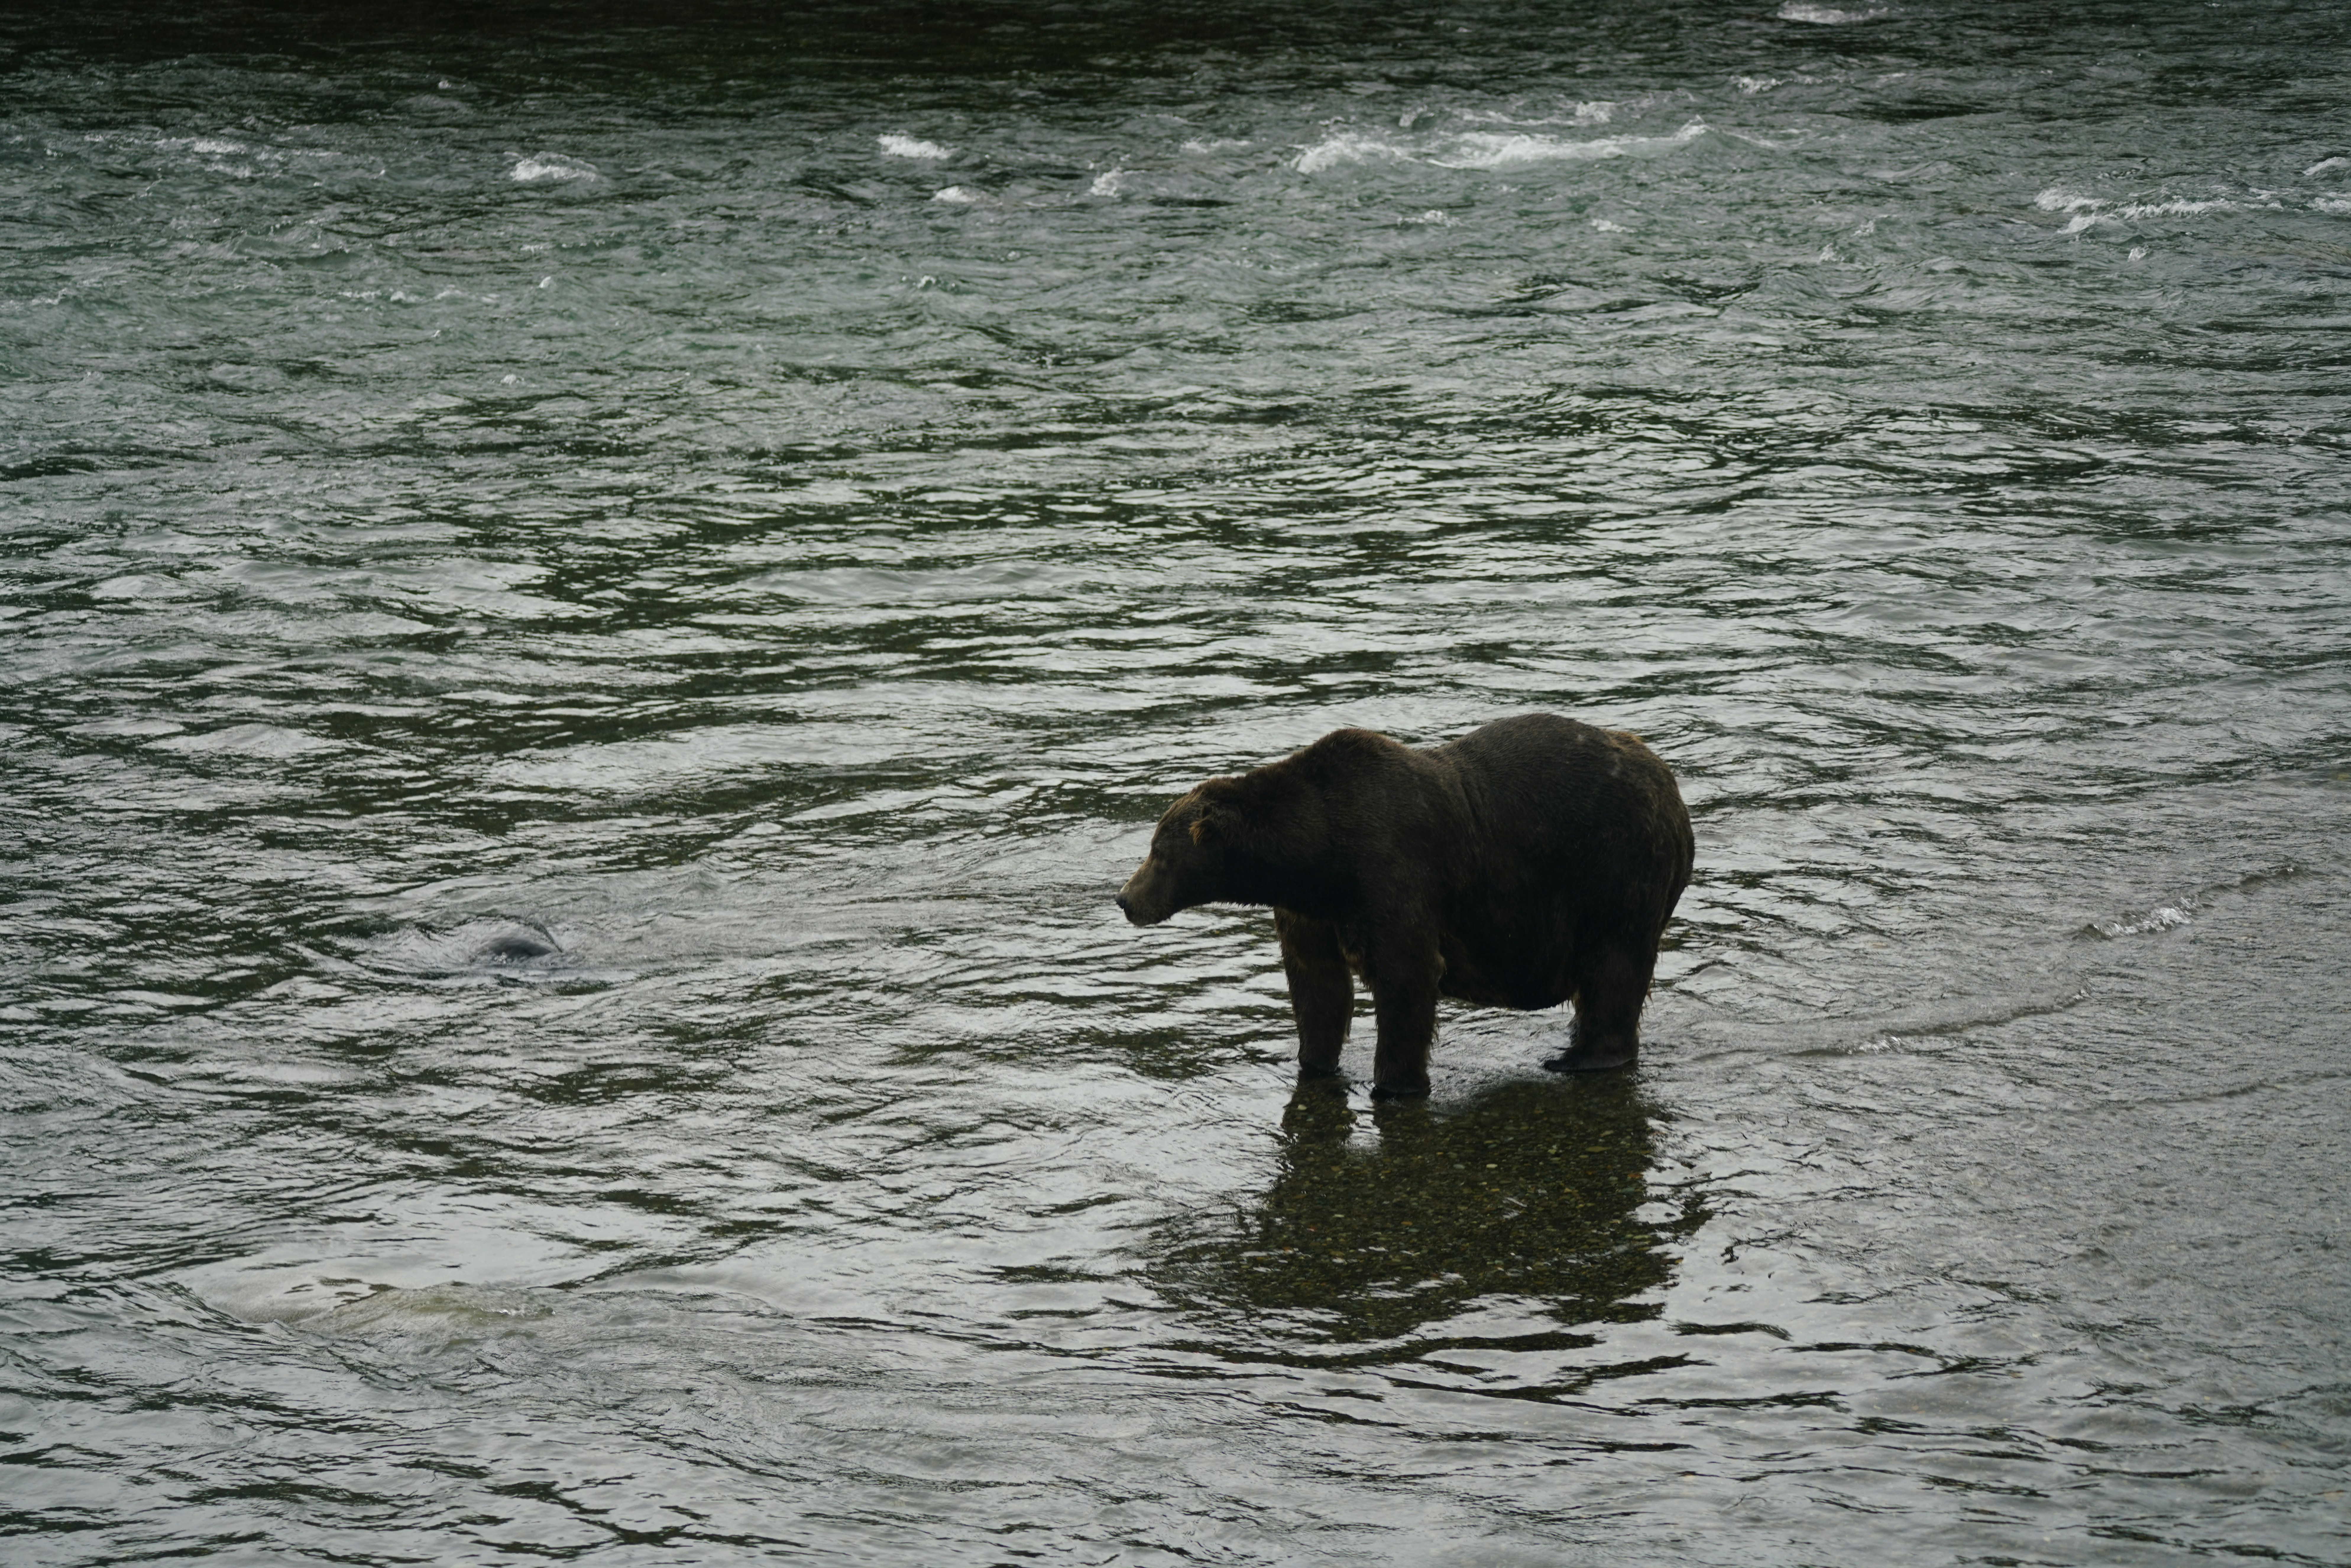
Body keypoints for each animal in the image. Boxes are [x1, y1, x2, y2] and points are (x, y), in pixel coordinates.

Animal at [1116, 713, 1694, 1100]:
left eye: (1159, 852)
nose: (1125, 899)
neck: (1319, 857)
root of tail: (1672, 789)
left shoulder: (1393, 869)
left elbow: (1407, 974)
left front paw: (1394, 1085)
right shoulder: (1311, 910)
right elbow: (1318, 986)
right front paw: (1312, 1062)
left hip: (1614, 863)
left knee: (1614, 961)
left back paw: (1580, 1058)